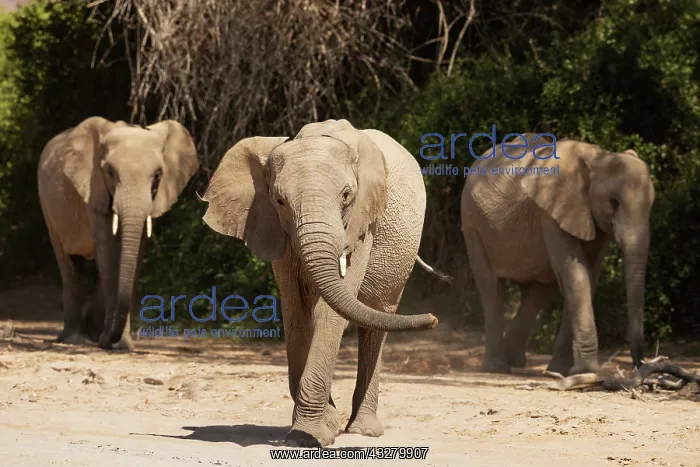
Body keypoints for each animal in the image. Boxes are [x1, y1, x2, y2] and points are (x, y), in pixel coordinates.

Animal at [37, 116, 198, 350]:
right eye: (110, 173)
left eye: (158, 175)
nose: (109, 340)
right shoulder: (94, 187)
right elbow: (108, 250)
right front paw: (113, 343)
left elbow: (136, 252)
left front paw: (119, 344)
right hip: (47, 206)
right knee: (70, 265)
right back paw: (75, 339)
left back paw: (91, 332)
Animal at [201, 119, 442, 447]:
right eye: (279, 201)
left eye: (346, 195)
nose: (434, 318)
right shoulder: (278, 231)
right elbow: (295, 310)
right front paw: (318, 427)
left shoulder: (361, 224)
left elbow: (331, 313)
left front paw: (310, 434)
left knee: (378, 318)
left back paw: (365, 430)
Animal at [460, 133, 655, 376]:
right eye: (614, 203)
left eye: (651, 205)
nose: (640, 364)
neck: (598, 158)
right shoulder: (551, 212)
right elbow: (577, 272)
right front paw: (586, 372)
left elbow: (589, 276)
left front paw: (561, 372)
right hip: (472, 222)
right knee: (491, 286)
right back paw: (498, 368)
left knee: (539, 292)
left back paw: (515, 360)